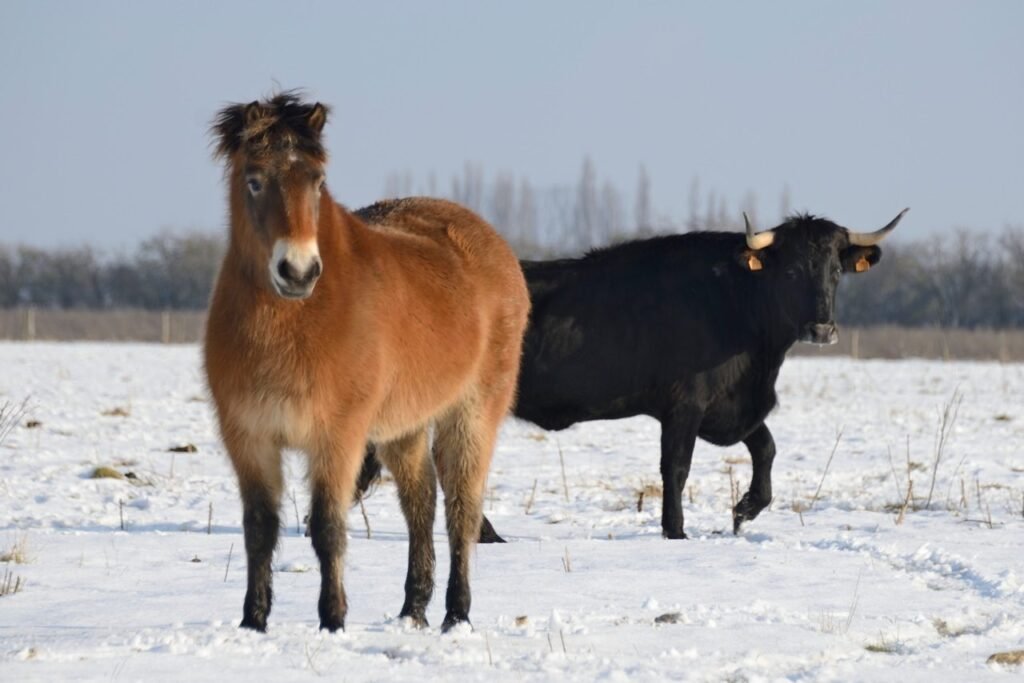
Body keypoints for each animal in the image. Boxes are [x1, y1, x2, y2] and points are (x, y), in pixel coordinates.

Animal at [359, 209, 907, 541]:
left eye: (834, 272)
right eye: (790, 270)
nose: (822, 328)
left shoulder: (732, 406)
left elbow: (767, 448)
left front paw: (745, 509)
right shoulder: (684, 406)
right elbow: (676, 469)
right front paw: (676, 531)